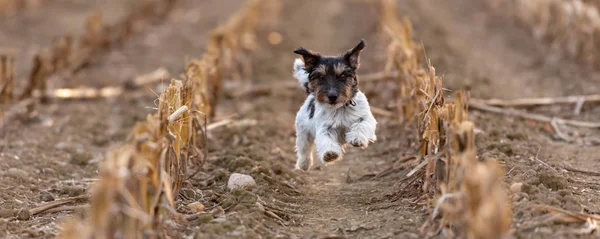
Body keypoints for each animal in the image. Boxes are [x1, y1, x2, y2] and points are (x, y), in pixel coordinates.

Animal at [290, 39, 376, 170]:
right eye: (321, 76)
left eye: (343, 75)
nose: (332, 96)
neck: (340, 107)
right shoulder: (325, 127)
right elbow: (326, 139)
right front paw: (330, 154)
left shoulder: (365, 117)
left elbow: (361, 125)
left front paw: (356, 138)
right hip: (302, 131)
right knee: (304, 148)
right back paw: (304, 163)